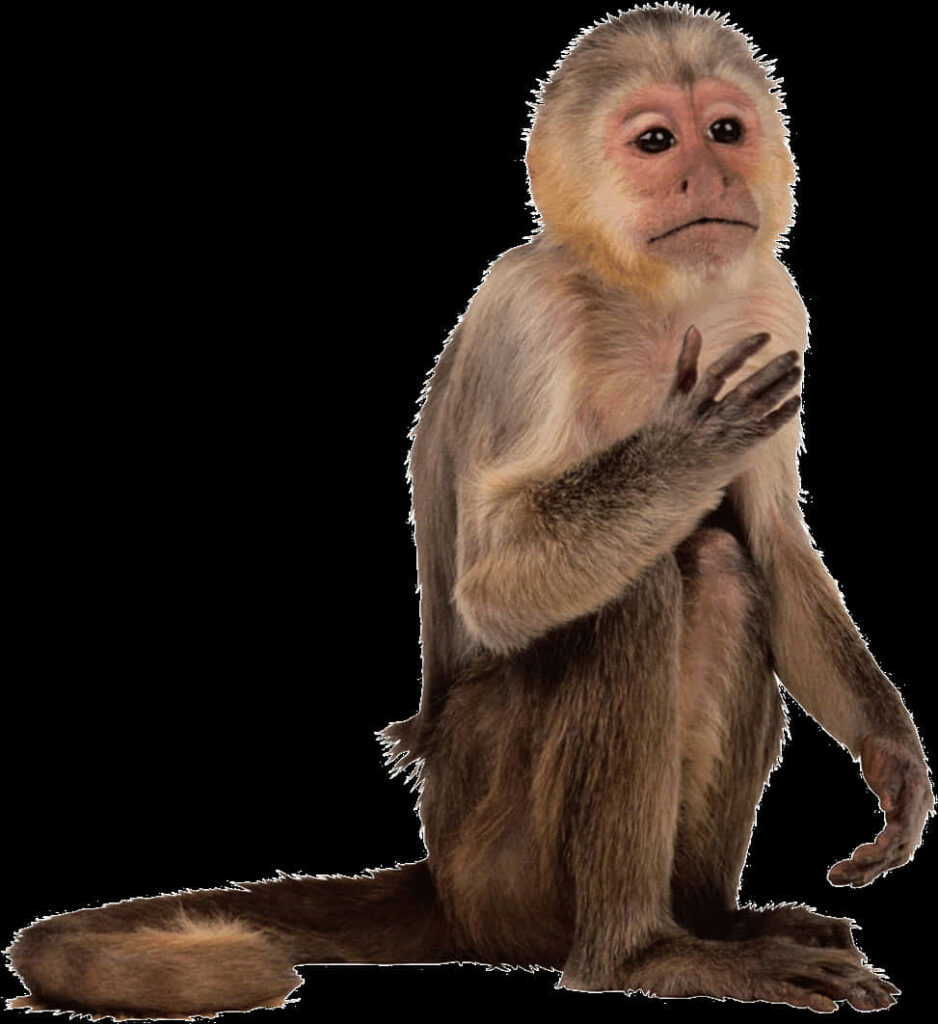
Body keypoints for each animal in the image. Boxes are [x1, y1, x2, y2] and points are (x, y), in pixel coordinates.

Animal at [6, 4, 934, 1018]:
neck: (650, 296)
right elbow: (493, 583)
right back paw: (639, 953)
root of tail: (442, 880)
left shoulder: (773, 306)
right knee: (652, 588)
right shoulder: (533, 311)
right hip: (494, 851)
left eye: (725, 130)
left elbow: (775, 544)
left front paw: (893, 756)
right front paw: (687, 448)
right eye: (658, 142)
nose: (711, 175)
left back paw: (714, 923)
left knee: (724, 572)